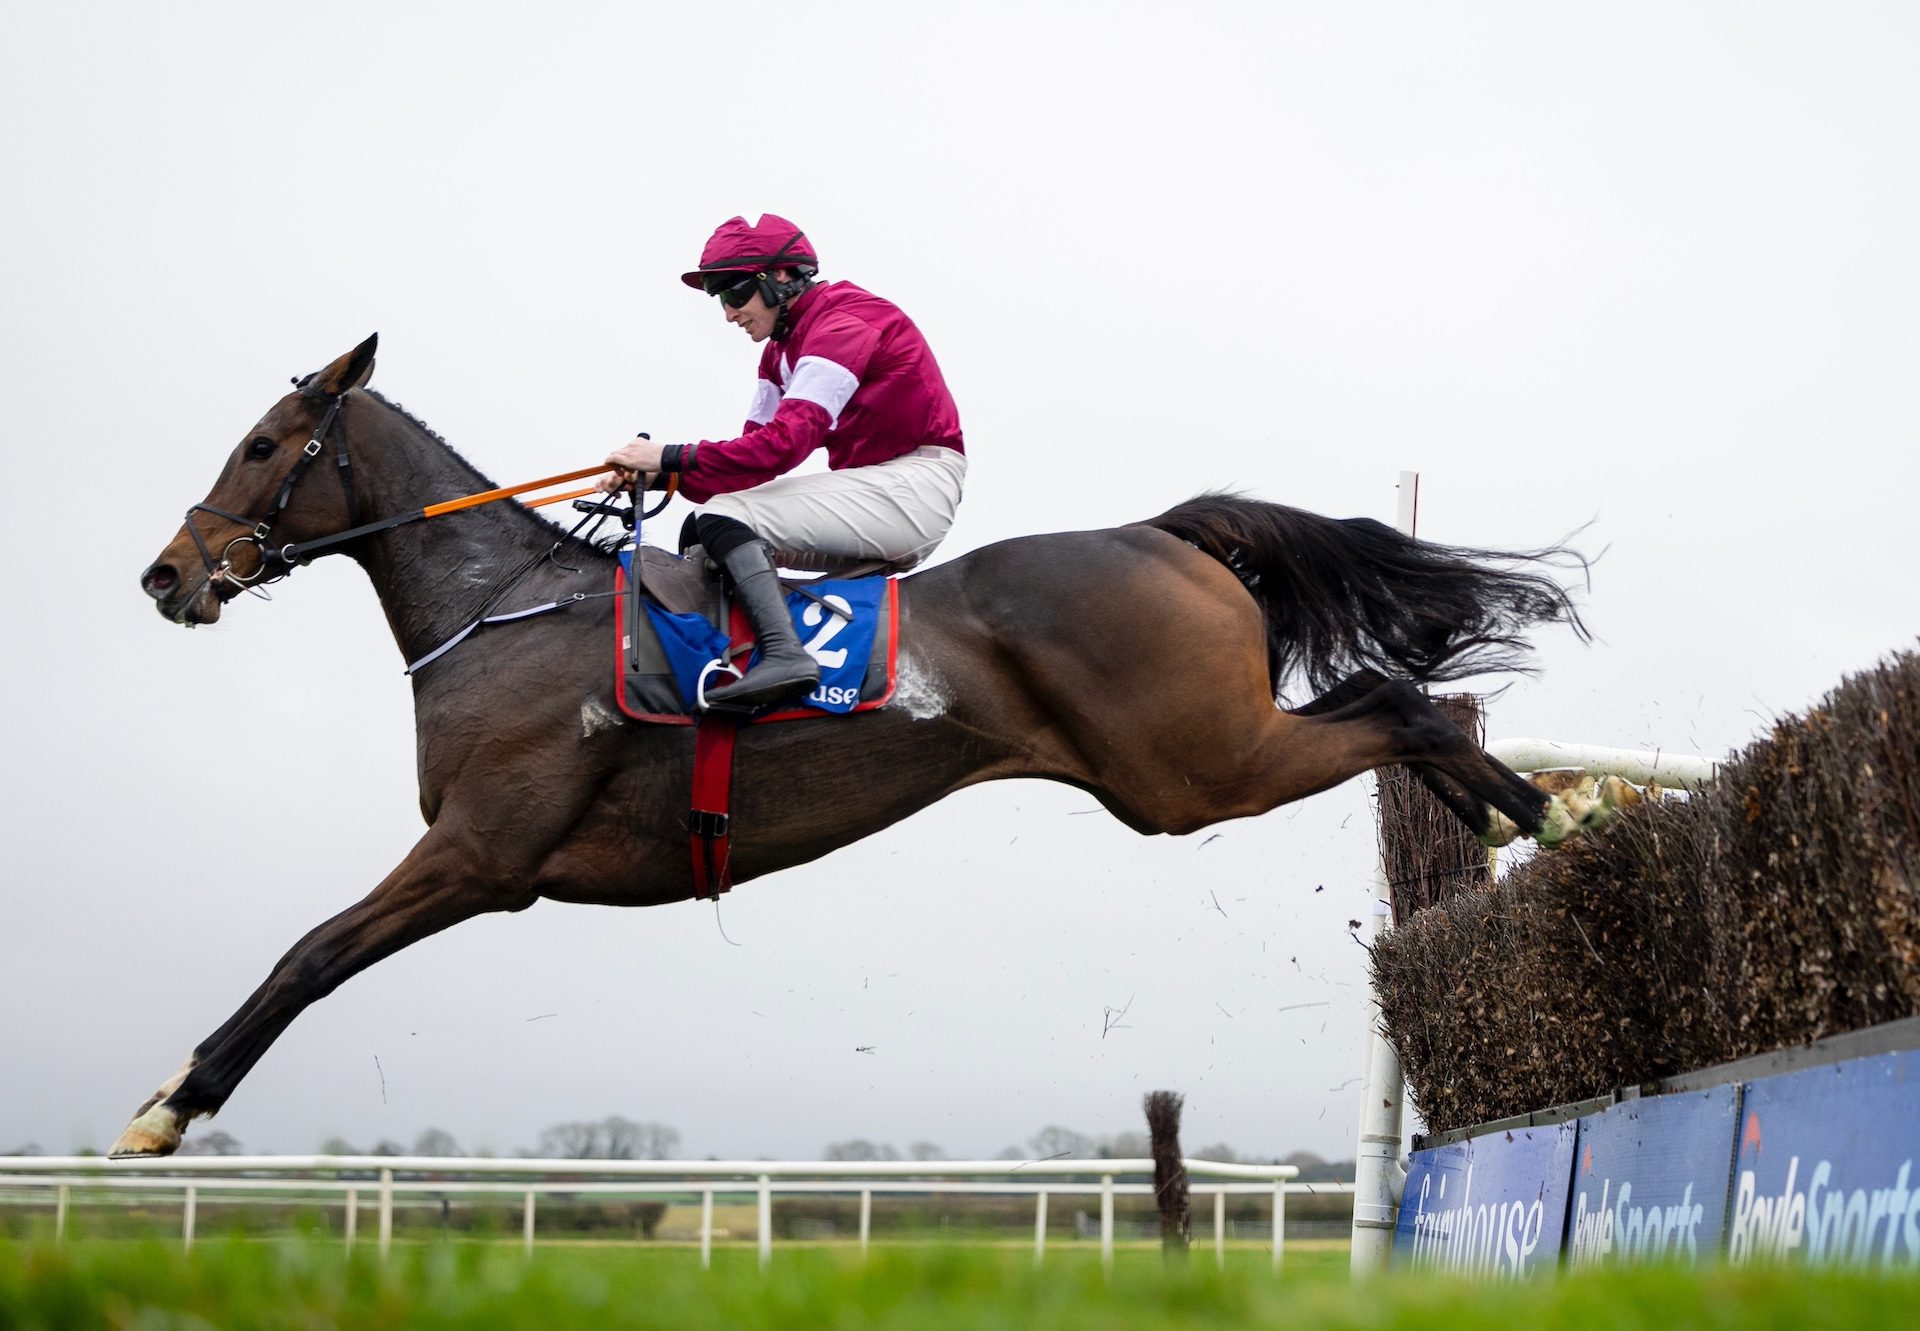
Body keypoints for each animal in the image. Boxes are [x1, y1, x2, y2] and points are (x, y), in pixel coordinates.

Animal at [123, 338, 1589, 1160]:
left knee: (1401, 702)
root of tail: (1161, 532)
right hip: (1181, 768)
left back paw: (1544, 815)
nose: (167, 574)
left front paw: (170, 1104)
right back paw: (1532, 817)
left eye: (263, 443)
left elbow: (309, 954)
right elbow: (311, 952)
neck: (505, 605)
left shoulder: (484, 852)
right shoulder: (477, 856)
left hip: (1194, 767)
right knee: (1403, 702)